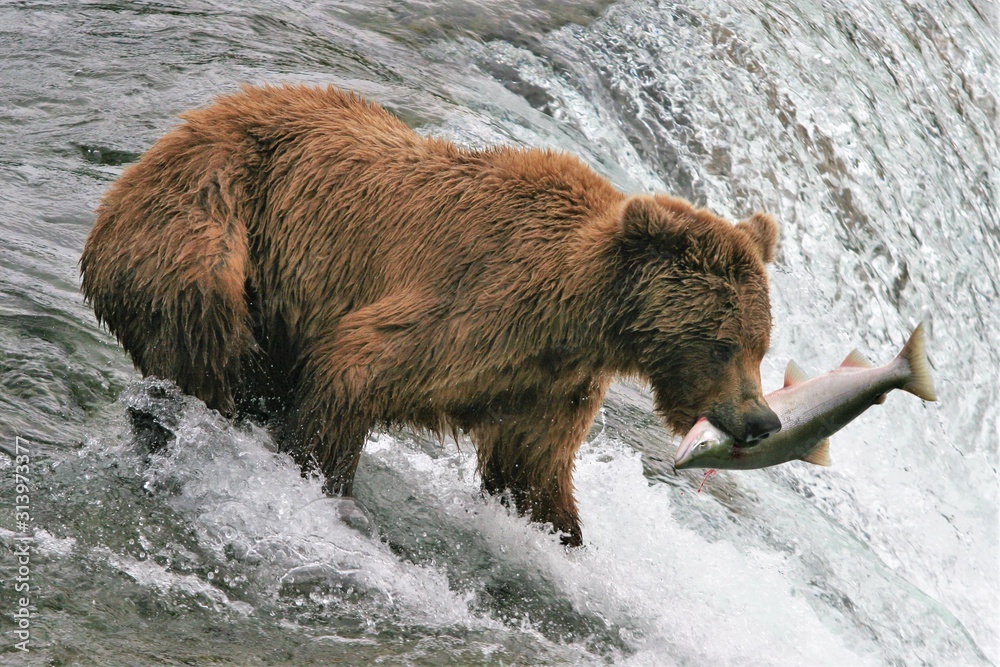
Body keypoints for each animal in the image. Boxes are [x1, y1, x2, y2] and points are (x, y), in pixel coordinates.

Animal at [81, 84, 780, 546]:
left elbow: (531, 474)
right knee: (208, 330)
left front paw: (565, 538)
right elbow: (353, 368)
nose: (761, 419)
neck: (584, 313)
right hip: (210, 221)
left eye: (760, 345)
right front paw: (322, 485)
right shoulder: (479, 305)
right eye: (720, 343)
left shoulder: (549, 383)